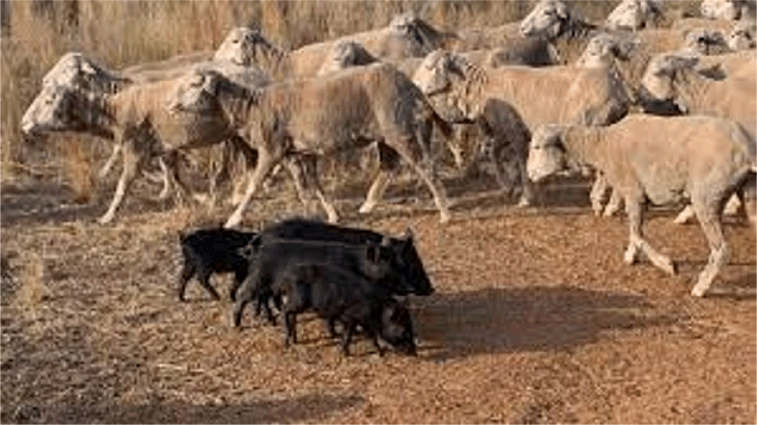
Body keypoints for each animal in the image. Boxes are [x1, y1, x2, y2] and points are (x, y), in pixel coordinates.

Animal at [166, 63, 452, 227]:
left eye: (194, 84)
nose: (170, 105)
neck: (251, 108)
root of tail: (414, 88)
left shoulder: (272, 149)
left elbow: (253, 185)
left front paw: (233, 219)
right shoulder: (297, 154)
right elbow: (310, 186)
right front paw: (323, 215)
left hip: (400, 129)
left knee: (425, 166)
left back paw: (444, 212)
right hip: (387, 135)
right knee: (389, 165)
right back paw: (368, 205)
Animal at [524, 114, 756, 296]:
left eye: (537, 147)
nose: (529, 174)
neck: (603, 146)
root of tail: (746, 151)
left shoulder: (634, 193)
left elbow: (636, 234)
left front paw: (668, 265)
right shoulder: (636, 196)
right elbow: (634, 231)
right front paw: (631, 256)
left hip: (706, 197)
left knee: (721, 248)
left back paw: (700, 287)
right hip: (748, 192)